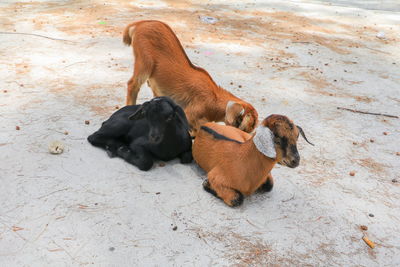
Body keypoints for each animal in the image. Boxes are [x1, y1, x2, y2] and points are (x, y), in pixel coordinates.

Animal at [123, 20, 258, 136]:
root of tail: (140, 24)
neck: (213, 98)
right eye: (241, 124)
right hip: (144, 62)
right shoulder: (191, 113)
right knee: (133, 84)